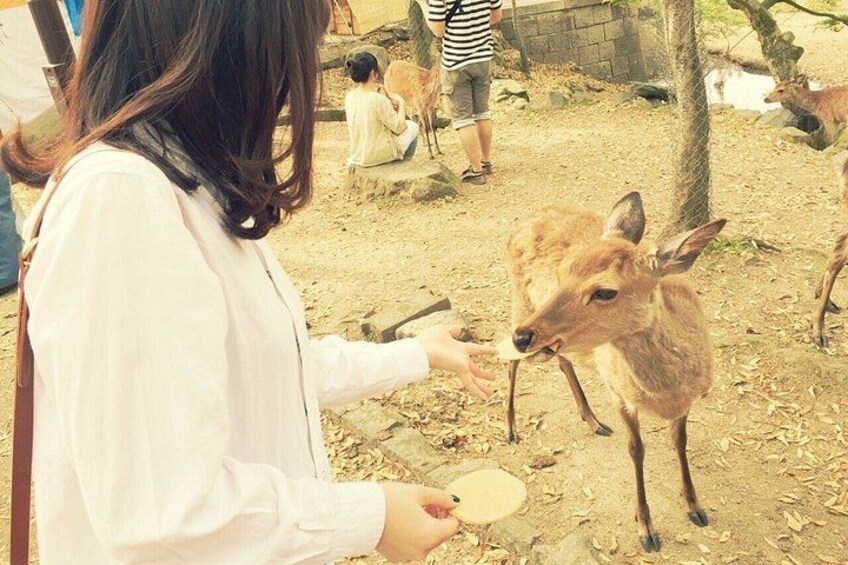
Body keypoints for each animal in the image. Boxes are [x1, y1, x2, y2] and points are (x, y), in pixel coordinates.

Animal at [504, 192, 726, 552]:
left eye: (605, 291)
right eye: (563, 272)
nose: (523, 336)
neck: (665, 393)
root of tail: (520, 225)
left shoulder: (686, 402)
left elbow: (680, 442)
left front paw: (695, 507)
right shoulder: (619, 391)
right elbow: (636, 450)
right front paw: (646, 530)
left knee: (561, 360)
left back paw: (593, 420)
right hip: (520, 301)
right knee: (511, 360)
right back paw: (510, 428)